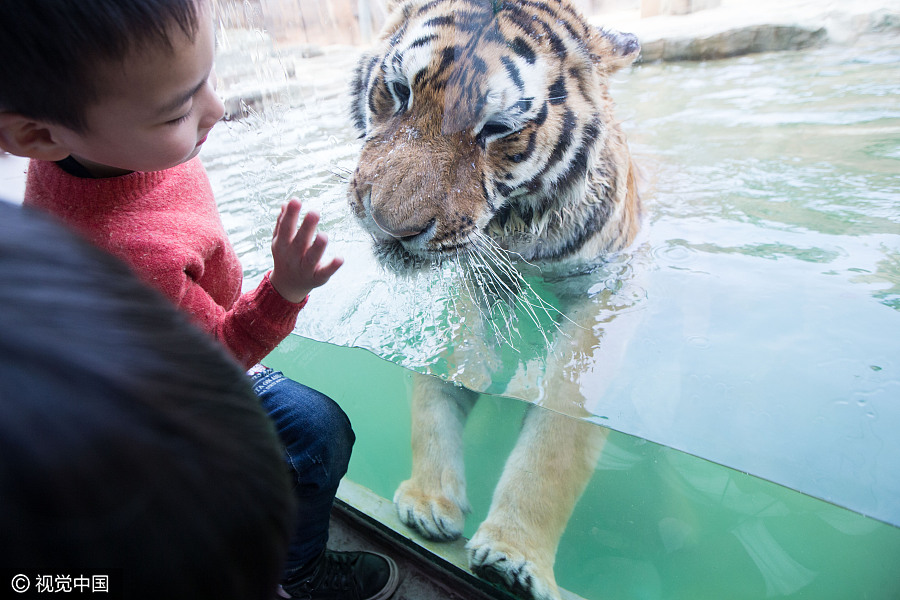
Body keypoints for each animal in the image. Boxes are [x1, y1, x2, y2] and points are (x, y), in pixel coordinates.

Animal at [344, 1, 640, 600]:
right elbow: (445, 379)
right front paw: (429, 500)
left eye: (498, 129)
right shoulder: (469, 287)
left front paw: (514, 557)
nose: (389, 224)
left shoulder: (599, 295)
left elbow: (560, 425)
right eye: (400, 91)